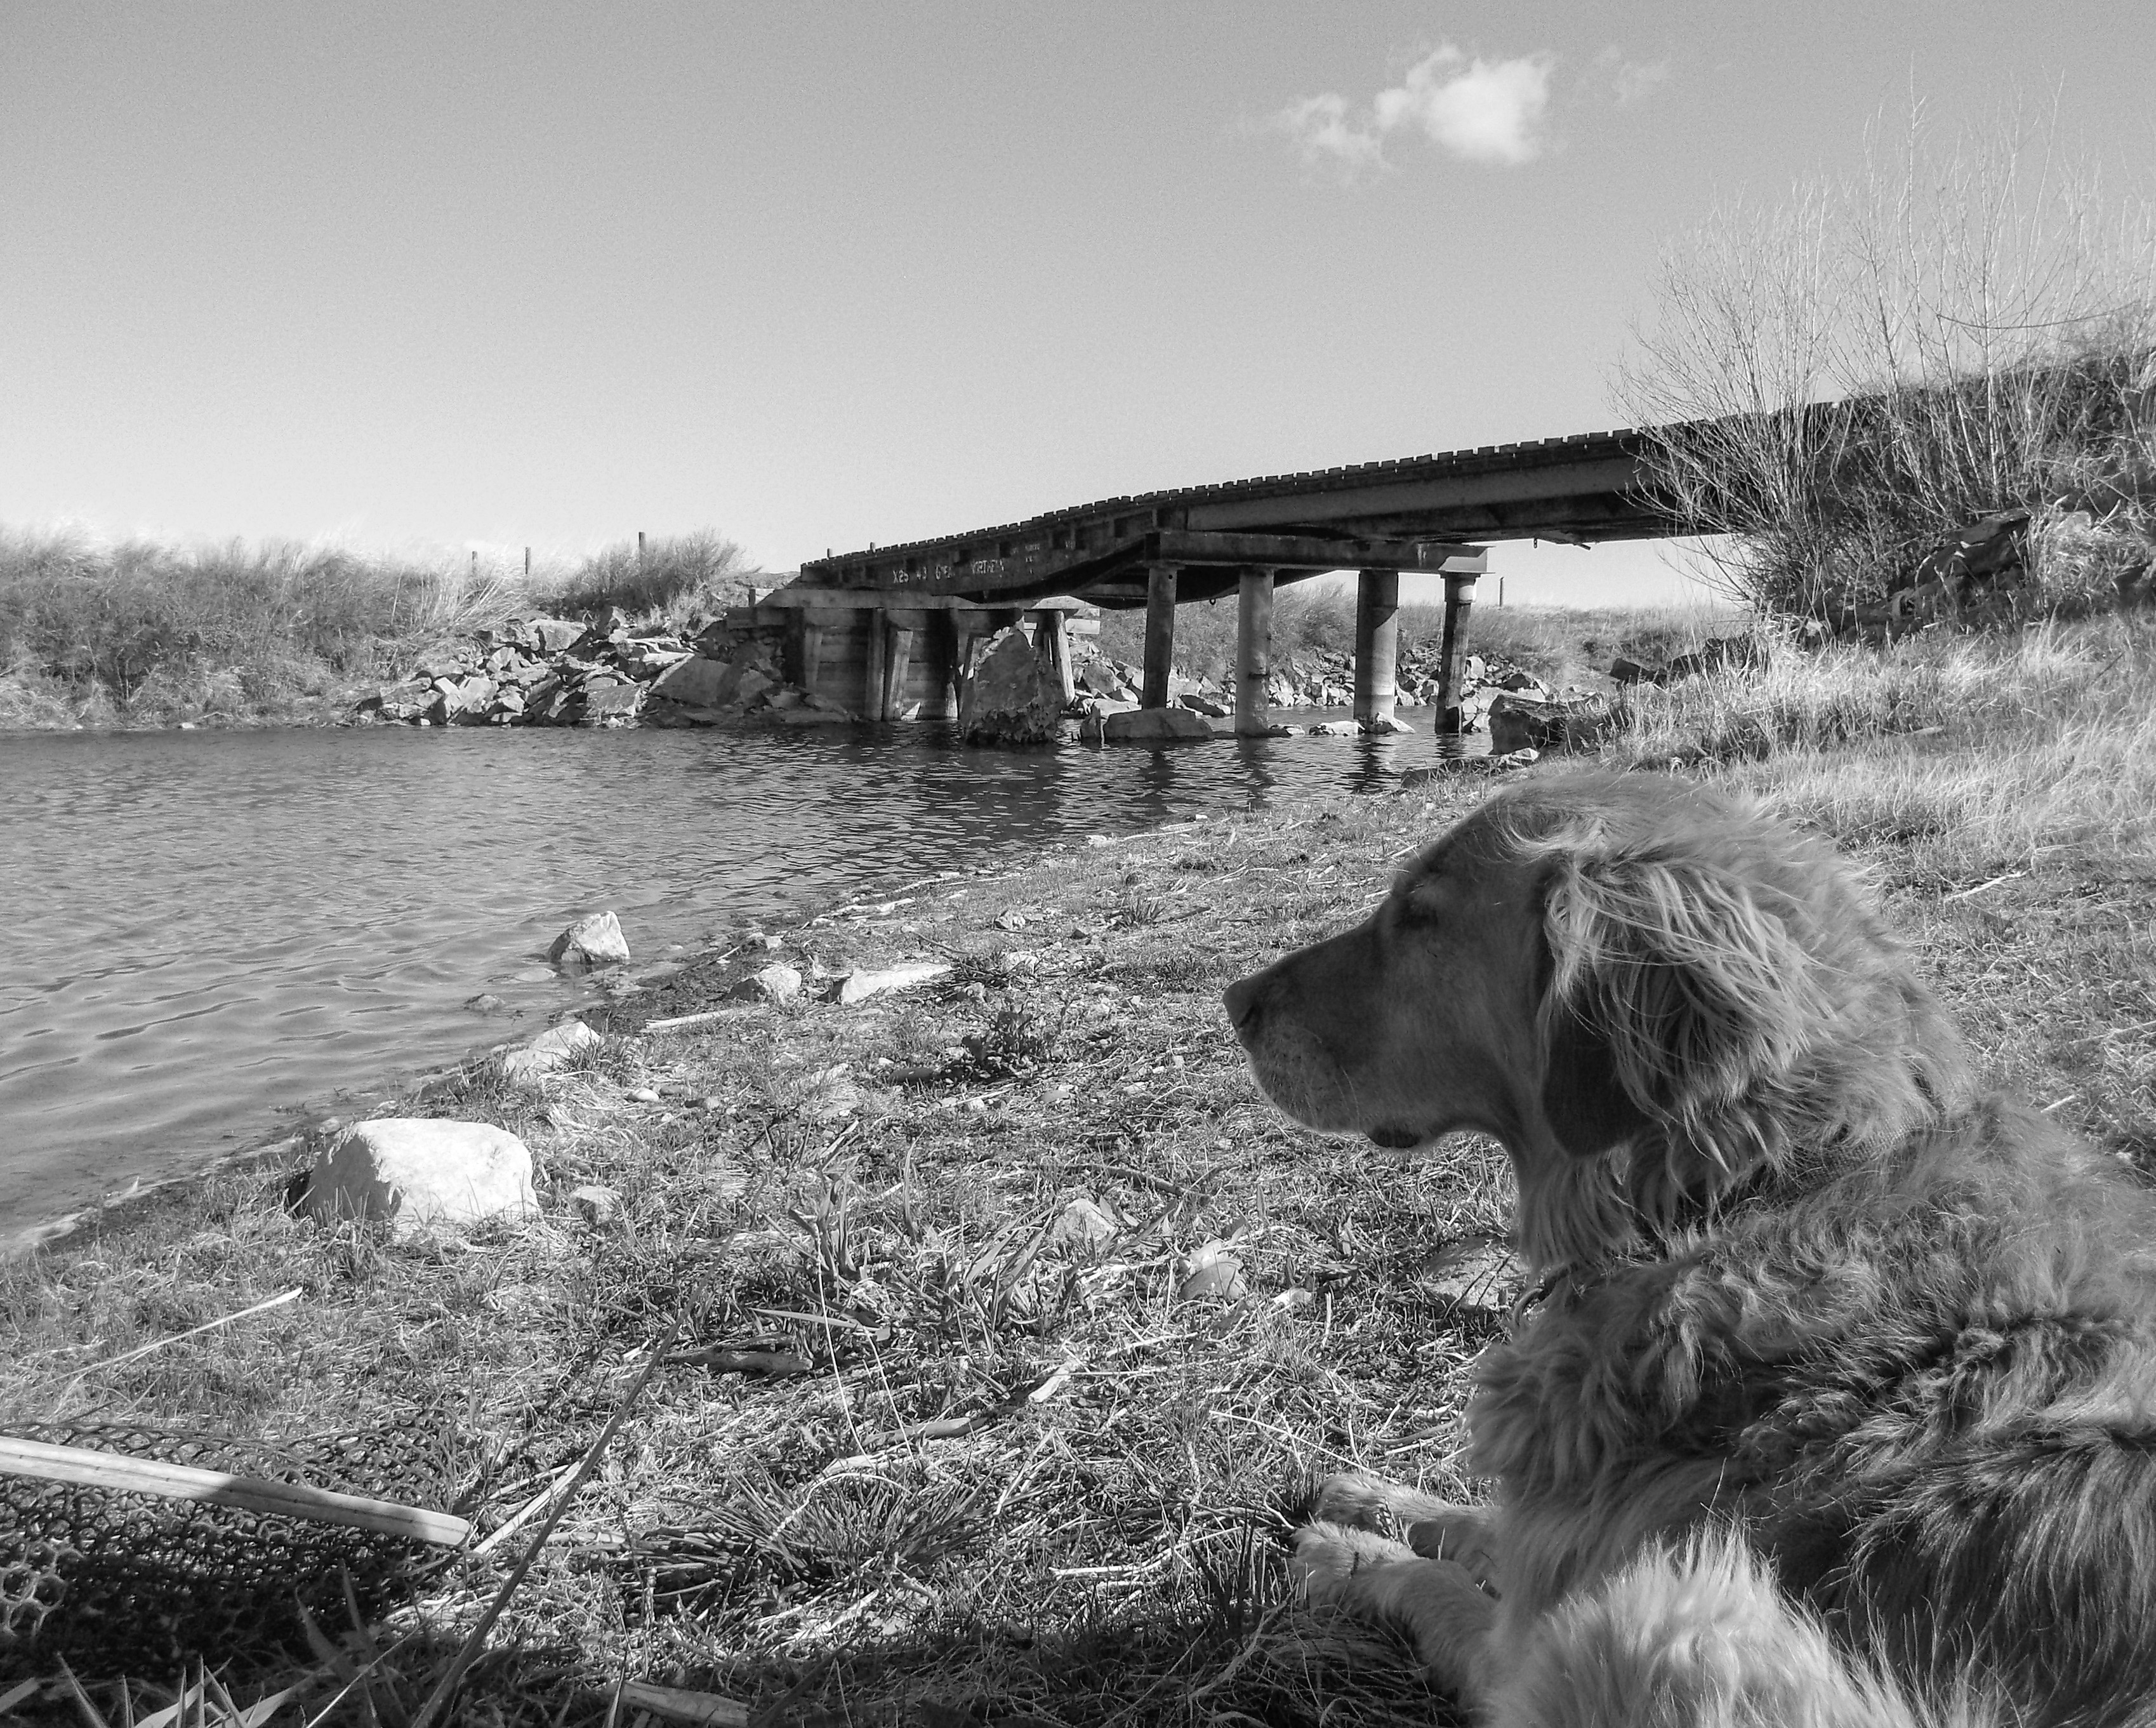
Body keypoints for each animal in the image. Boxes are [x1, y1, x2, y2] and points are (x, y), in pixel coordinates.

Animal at [1224, 772, 2156, 1727]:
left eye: (1418, 915)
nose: (1234, 1001)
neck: (1753, 1190)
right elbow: (1490, 1526)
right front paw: (1377, 1496)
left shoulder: (1525, 1642)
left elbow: (1447, 1588)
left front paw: (1348, 1555)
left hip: (1661, 1616)